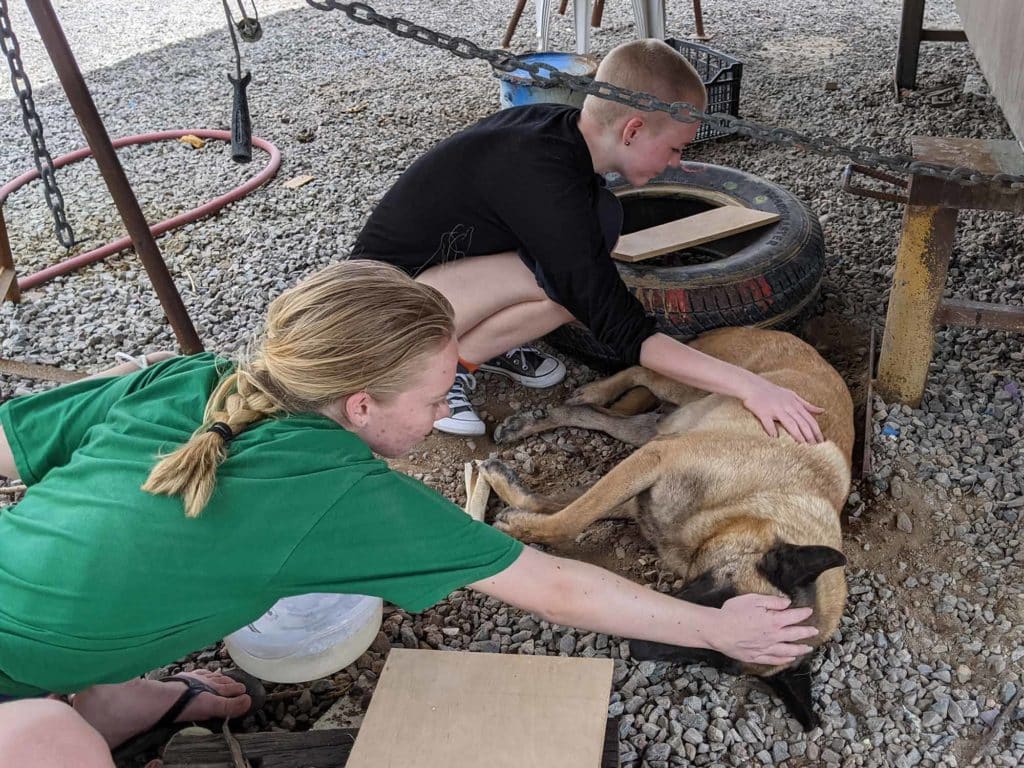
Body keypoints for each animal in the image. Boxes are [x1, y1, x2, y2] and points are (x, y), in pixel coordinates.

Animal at [479, 327, 856, 729]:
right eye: (724, 601)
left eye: (718, 658)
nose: (637, 647)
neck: (747, 506)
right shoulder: (657, 459)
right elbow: (573, 517)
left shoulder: (639, 494)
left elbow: (562, 504)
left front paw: (515, 505)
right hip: (685, 385)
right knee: (641, 368)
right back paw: (598, 389)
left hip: (651, 430)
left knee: (600, 417)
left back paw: (534, 422)